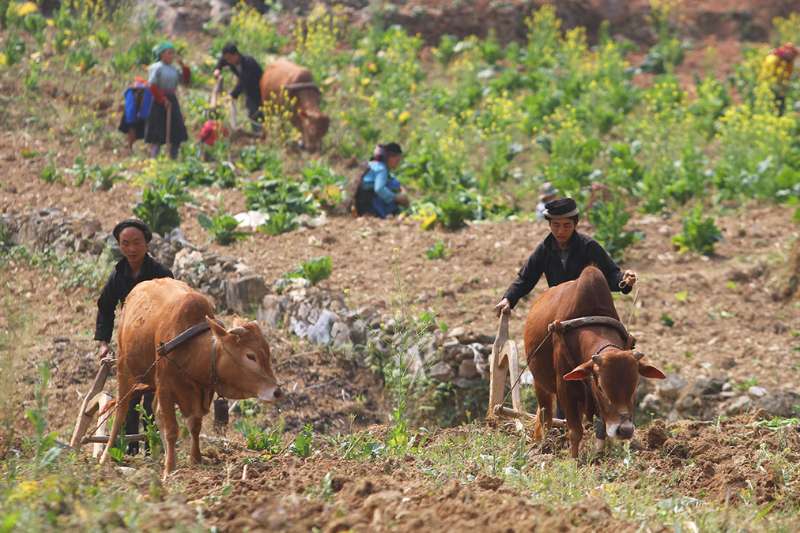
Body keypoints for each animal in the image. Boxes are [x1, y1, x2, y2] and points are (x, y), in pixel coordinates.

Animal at [72, 276, 282, 480]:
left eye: (267, 352)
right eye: (250, 356)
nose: (277, 391)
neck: (194, 350)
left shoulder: (202, 391)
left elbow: (194, 425)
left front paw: (195, 459)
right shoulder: (166, 387)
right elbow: (172, 429)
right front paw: (170, 469)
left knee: (155, 411)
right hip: (125, 371)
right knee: (120, 413)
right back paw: (106, 456)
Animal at [490, 266, 664, 458]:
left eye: (635, 385)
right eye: (601, 387)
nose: (625, 430)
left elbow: (601, 431)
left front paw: (599, 455)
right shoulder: (566, 387)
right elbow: (575, 431)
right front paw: (574, 459)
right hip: (540, 382)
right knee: (545, 416)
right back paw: (541, 443)